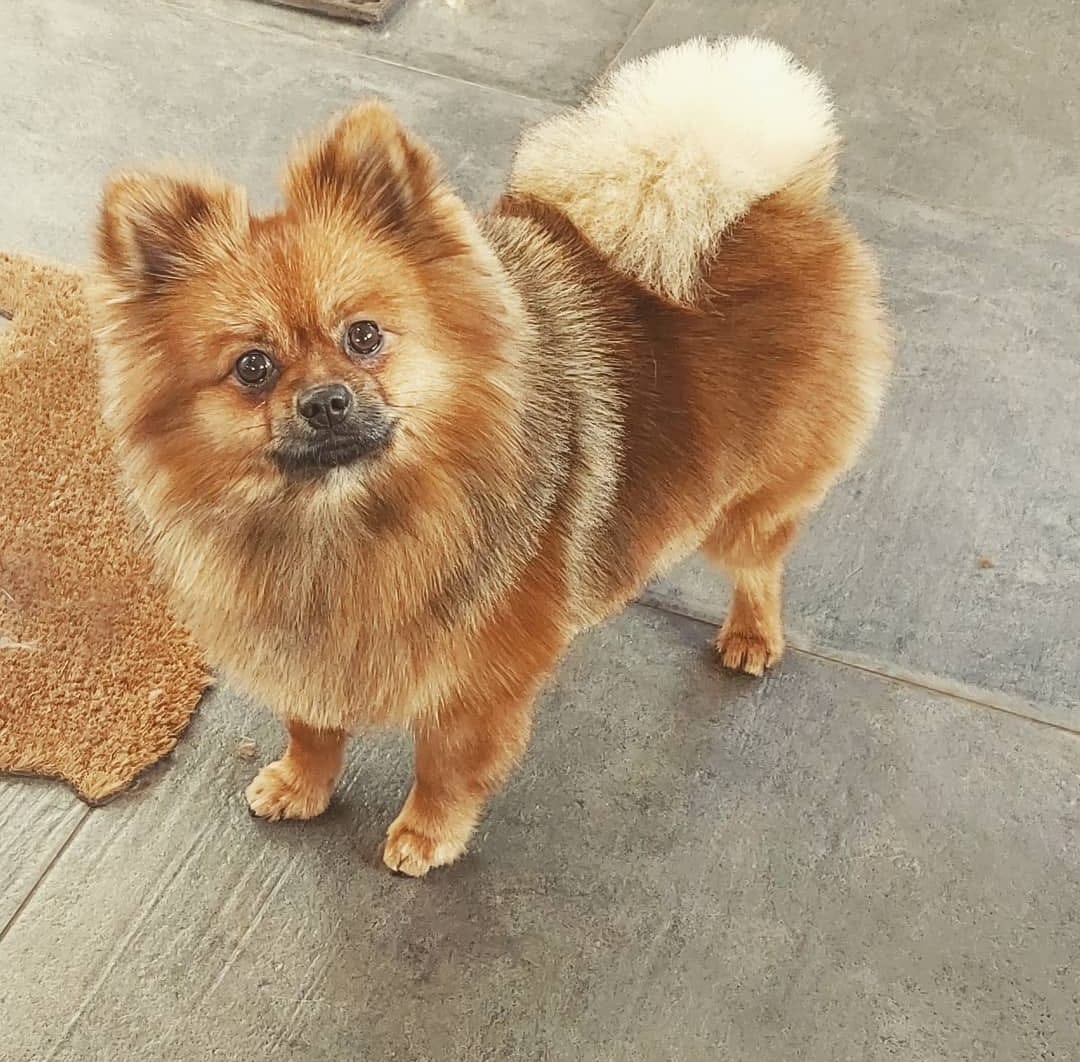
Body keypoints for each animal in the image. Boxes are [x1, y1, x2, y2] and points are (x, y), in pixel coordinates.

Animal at [90, 38, 890, 876]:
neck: (343, 524)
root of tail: (777, 199)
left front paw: (426, 833)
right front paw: (302, 784)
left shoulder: (475, 685)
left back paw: (751, 635)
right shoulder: (306, 652)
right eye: (253, 367)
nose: (326, 401)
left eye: (364, 335)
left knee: (761, 565)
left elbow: (445, 764)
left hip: (750, 504)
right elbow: (312, 726)